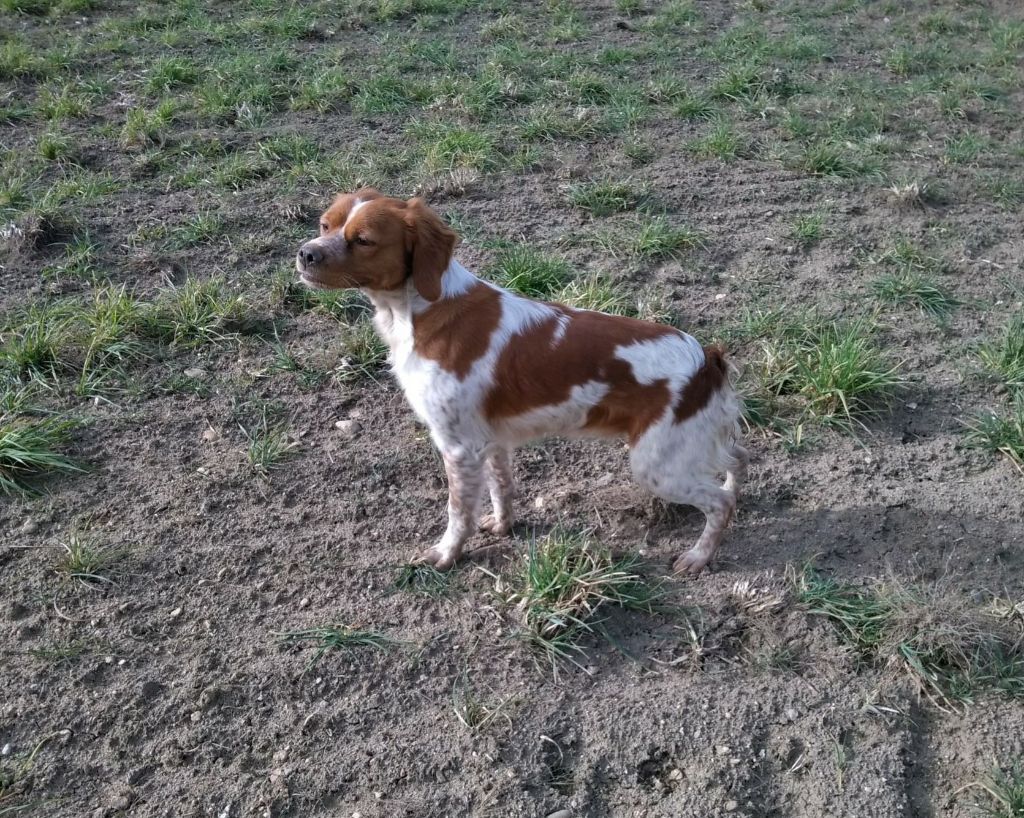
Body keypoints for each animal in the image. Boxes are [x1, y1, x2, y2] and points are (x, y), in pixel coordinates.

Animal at [292, 190, 749, 577]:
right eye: (324, 224)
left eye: (363, 240)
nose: (306, 253)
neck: (422, 310)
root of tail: (706, 358)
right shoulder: (490, 441)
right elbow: (502, 488)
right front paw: (501, 526)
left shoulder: (458, 447)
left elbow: (458, 513)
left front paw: (446, 554)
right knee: (737, 461)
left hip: (655, 465)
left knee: (720, 502)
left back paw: (699, 556)